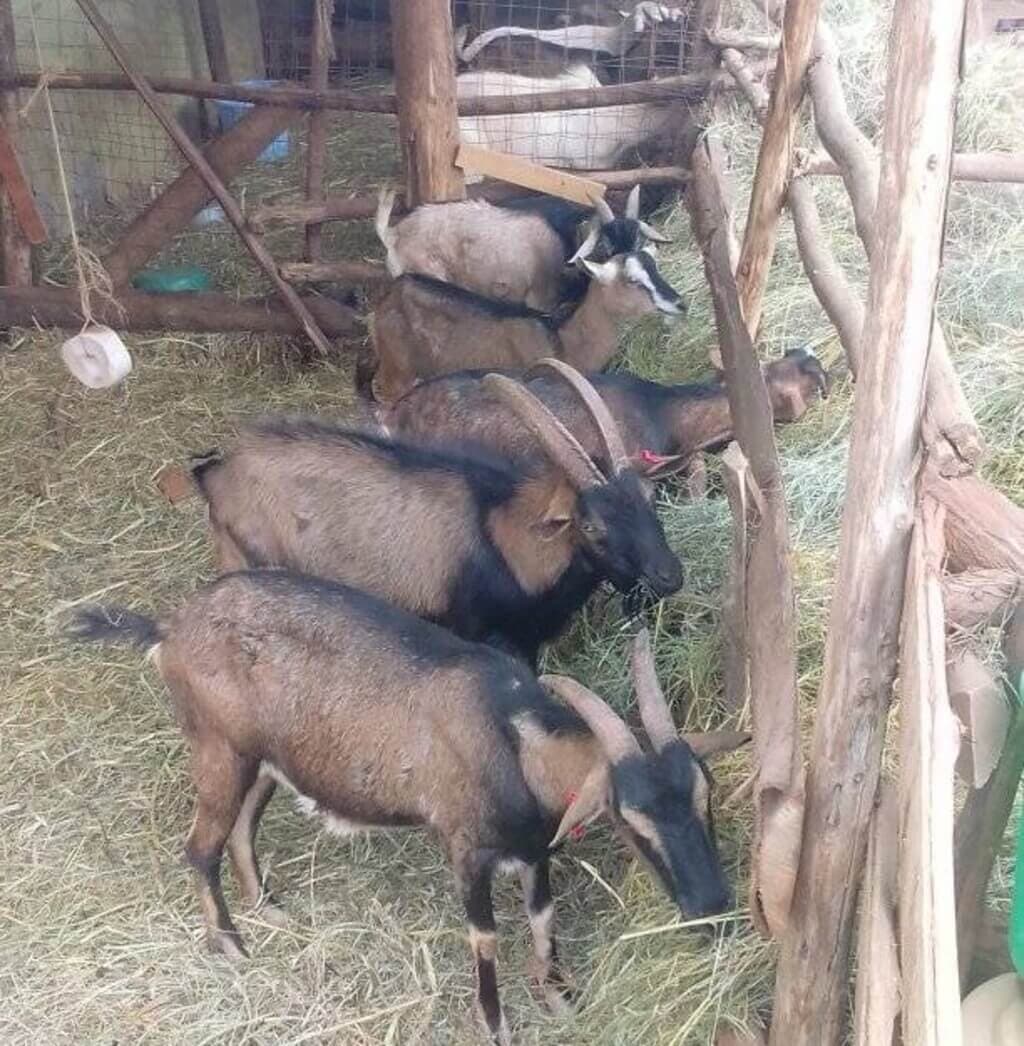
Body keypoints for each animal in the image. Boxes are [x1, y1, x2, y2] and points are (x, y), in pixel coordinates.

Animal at [69, 573, 747, 1044]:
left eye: (705, 796)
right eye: (631, 821)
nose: (712, 904)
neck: (509, 737)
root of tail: (168, 628)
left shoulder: (532, 849)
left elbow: (543, 917)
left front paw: (558, 997)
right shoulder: (466, 850)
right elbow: (485, 938)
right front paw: (496, 1025)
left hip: (262, 761)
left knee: (240, 829)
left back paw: (271, 910)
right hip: (219, 750)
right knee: (200, 846)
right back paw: (232, 945)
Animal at [192, 365, 682, 668]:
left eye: (649, 498)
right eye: (591, 527)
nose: (670, 575)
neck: (503, 534)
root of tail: (217, 475)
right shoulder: (486, 636)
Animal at [367, 247, 685, 405]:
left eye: (656, 269)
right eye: (632, 280)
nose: (680, 303)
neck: (561, 341)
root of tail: (392, 290)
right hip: (399, 367)